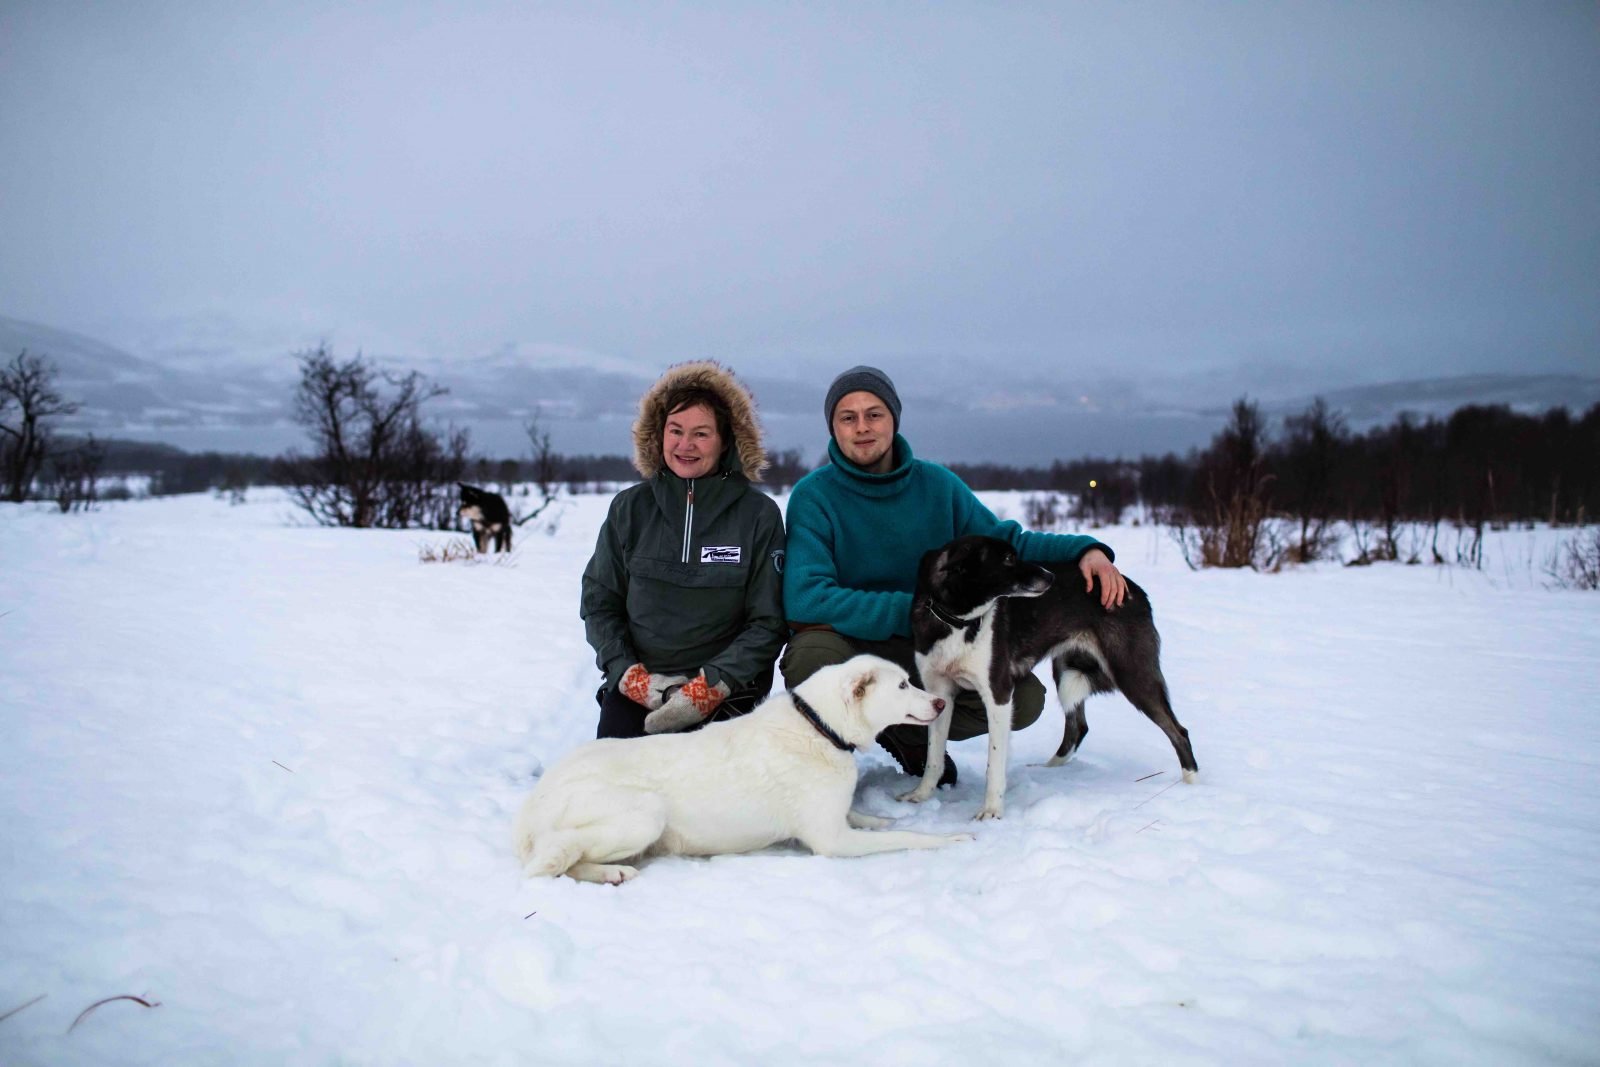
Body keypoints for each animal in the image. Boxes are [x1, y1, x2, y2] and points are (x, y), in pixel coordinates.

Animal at [512, 655, 966, 889]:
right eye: (904, 686)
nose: (942, 703)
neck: (817, 725)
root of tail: (530, 809)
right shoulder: (832, 841)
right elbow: (908, 837)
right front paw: (952, 838)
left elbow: (863, 815)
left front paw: (879, 816)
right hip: (644, 815)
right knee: (552, 862)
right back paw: (611, 872)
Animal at [908, 537, 1196, 825]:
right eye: (1009, 559)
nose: (1050, 576)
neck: (957, 620)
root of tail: (1135, 590)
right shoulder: (939, 693)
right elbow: (933, 756)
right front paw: (921, 795)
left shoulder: (998, 694)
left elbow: (995, 762)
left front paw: (991, 810)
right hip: (1066, 670)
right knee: (1078, 726)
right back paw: (1050, 770)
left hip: (1132, 673)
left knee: (1179, 731)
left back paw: (1191, 783)